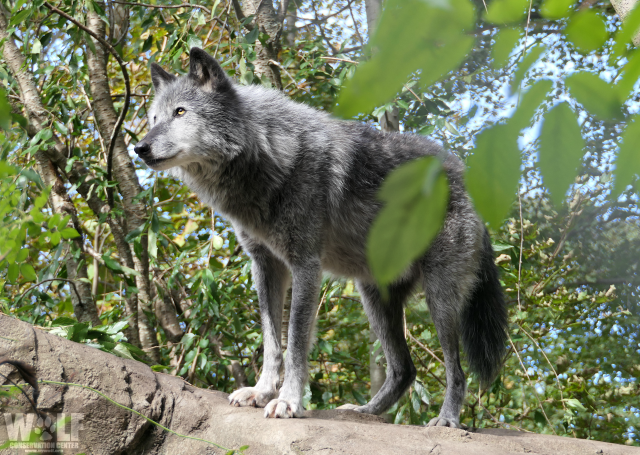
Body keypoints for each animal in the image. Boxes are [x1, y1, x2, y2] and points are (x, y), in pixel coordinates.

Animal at [134, 47, 508, 427]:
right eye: (153, 118)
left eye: (181, 112)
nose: (139, 148)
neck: (267, 152)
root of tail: (466, 176)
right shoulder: (265, 266)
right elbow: (272, 342)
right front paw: (261, 392)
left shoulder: (305, 265)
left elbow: (296, 343)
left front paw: (288, 402)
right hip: (374, 298)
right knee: (404, 369)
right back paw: (365, 411)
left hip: (439, 297)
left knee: (456, 370)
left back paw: (446, 420)